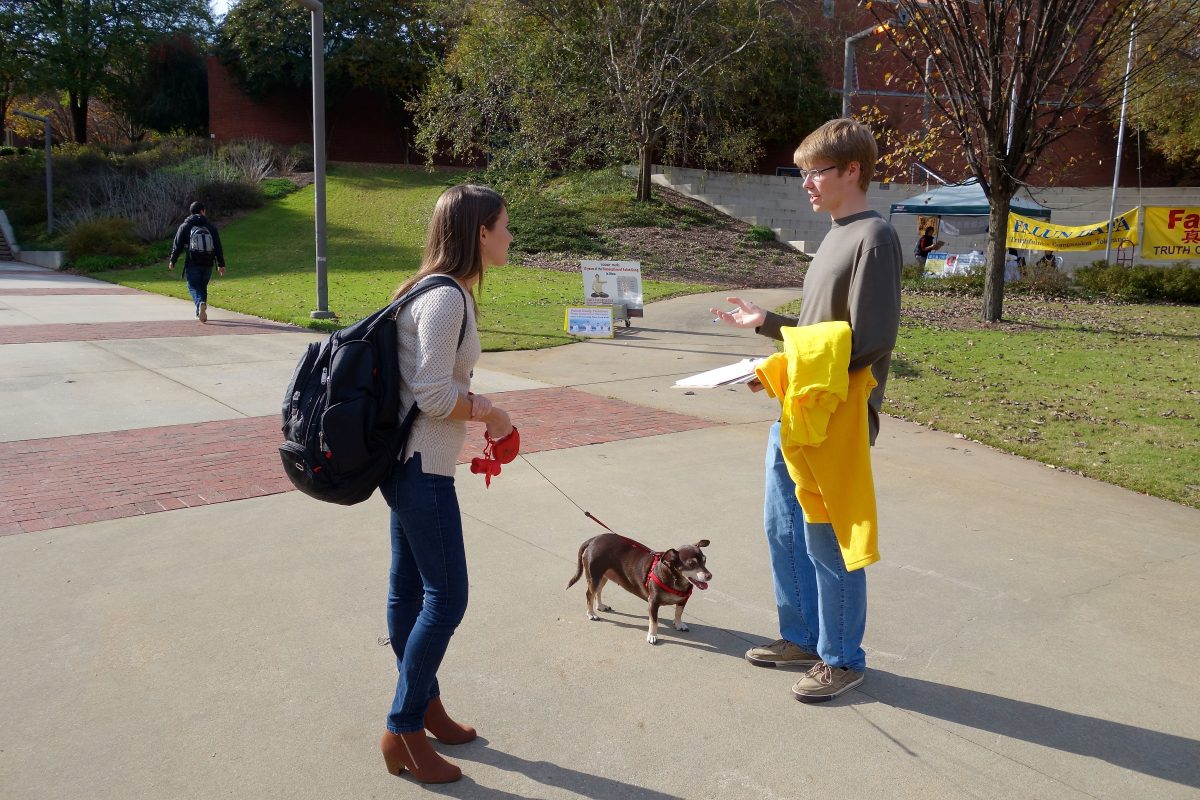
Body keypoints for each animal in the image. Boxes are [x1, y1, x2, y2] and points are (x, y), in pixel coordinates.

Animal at [564, 532, 705, 642]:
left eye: (705, 560)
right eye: (691, 564)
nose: (708, 576)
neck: (674, 578)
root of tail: (593, 539)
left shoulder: (683, 600)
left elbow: (678, 612)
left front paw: (679, 623)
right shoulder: (653, 603)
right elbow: (654, 622)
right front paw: (652, 636)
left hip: (603, 576)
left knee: (597, 592)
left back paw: (600, 606)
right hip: (595, 577)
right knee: (589, 594)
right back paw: (591, 613)